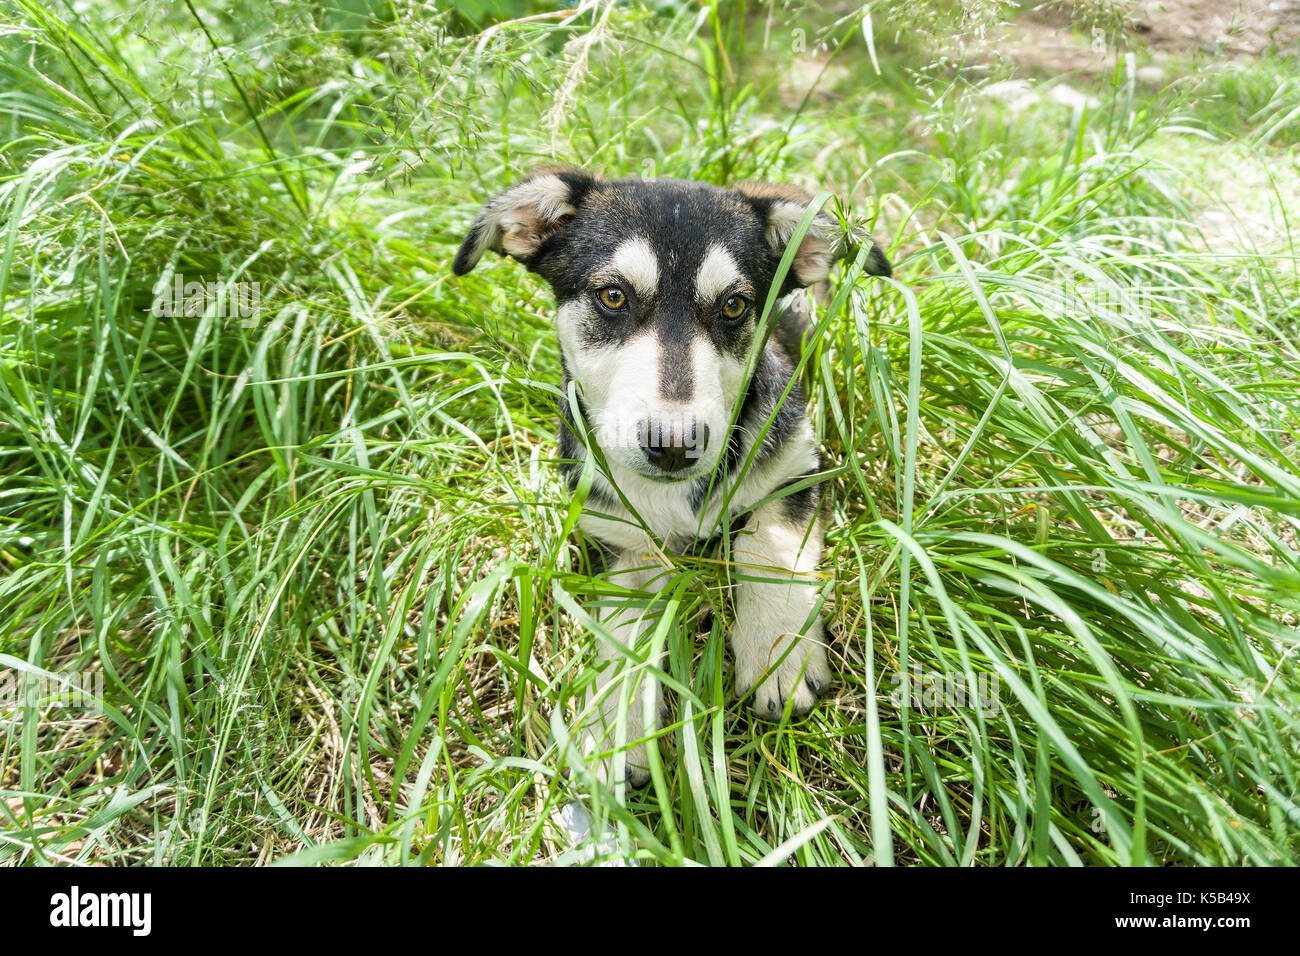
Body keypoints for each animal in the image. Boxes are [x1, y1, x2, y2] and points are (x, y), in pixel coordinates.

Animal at [452, 170, 889, 785]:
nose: (675, 447)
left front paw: (778, 655)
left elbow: (767, 547)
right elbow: (625, 632)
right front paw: (617, 727)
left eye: (734, 305)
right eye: (613, 296)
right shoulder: (622, 538)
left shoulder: (800, 469)